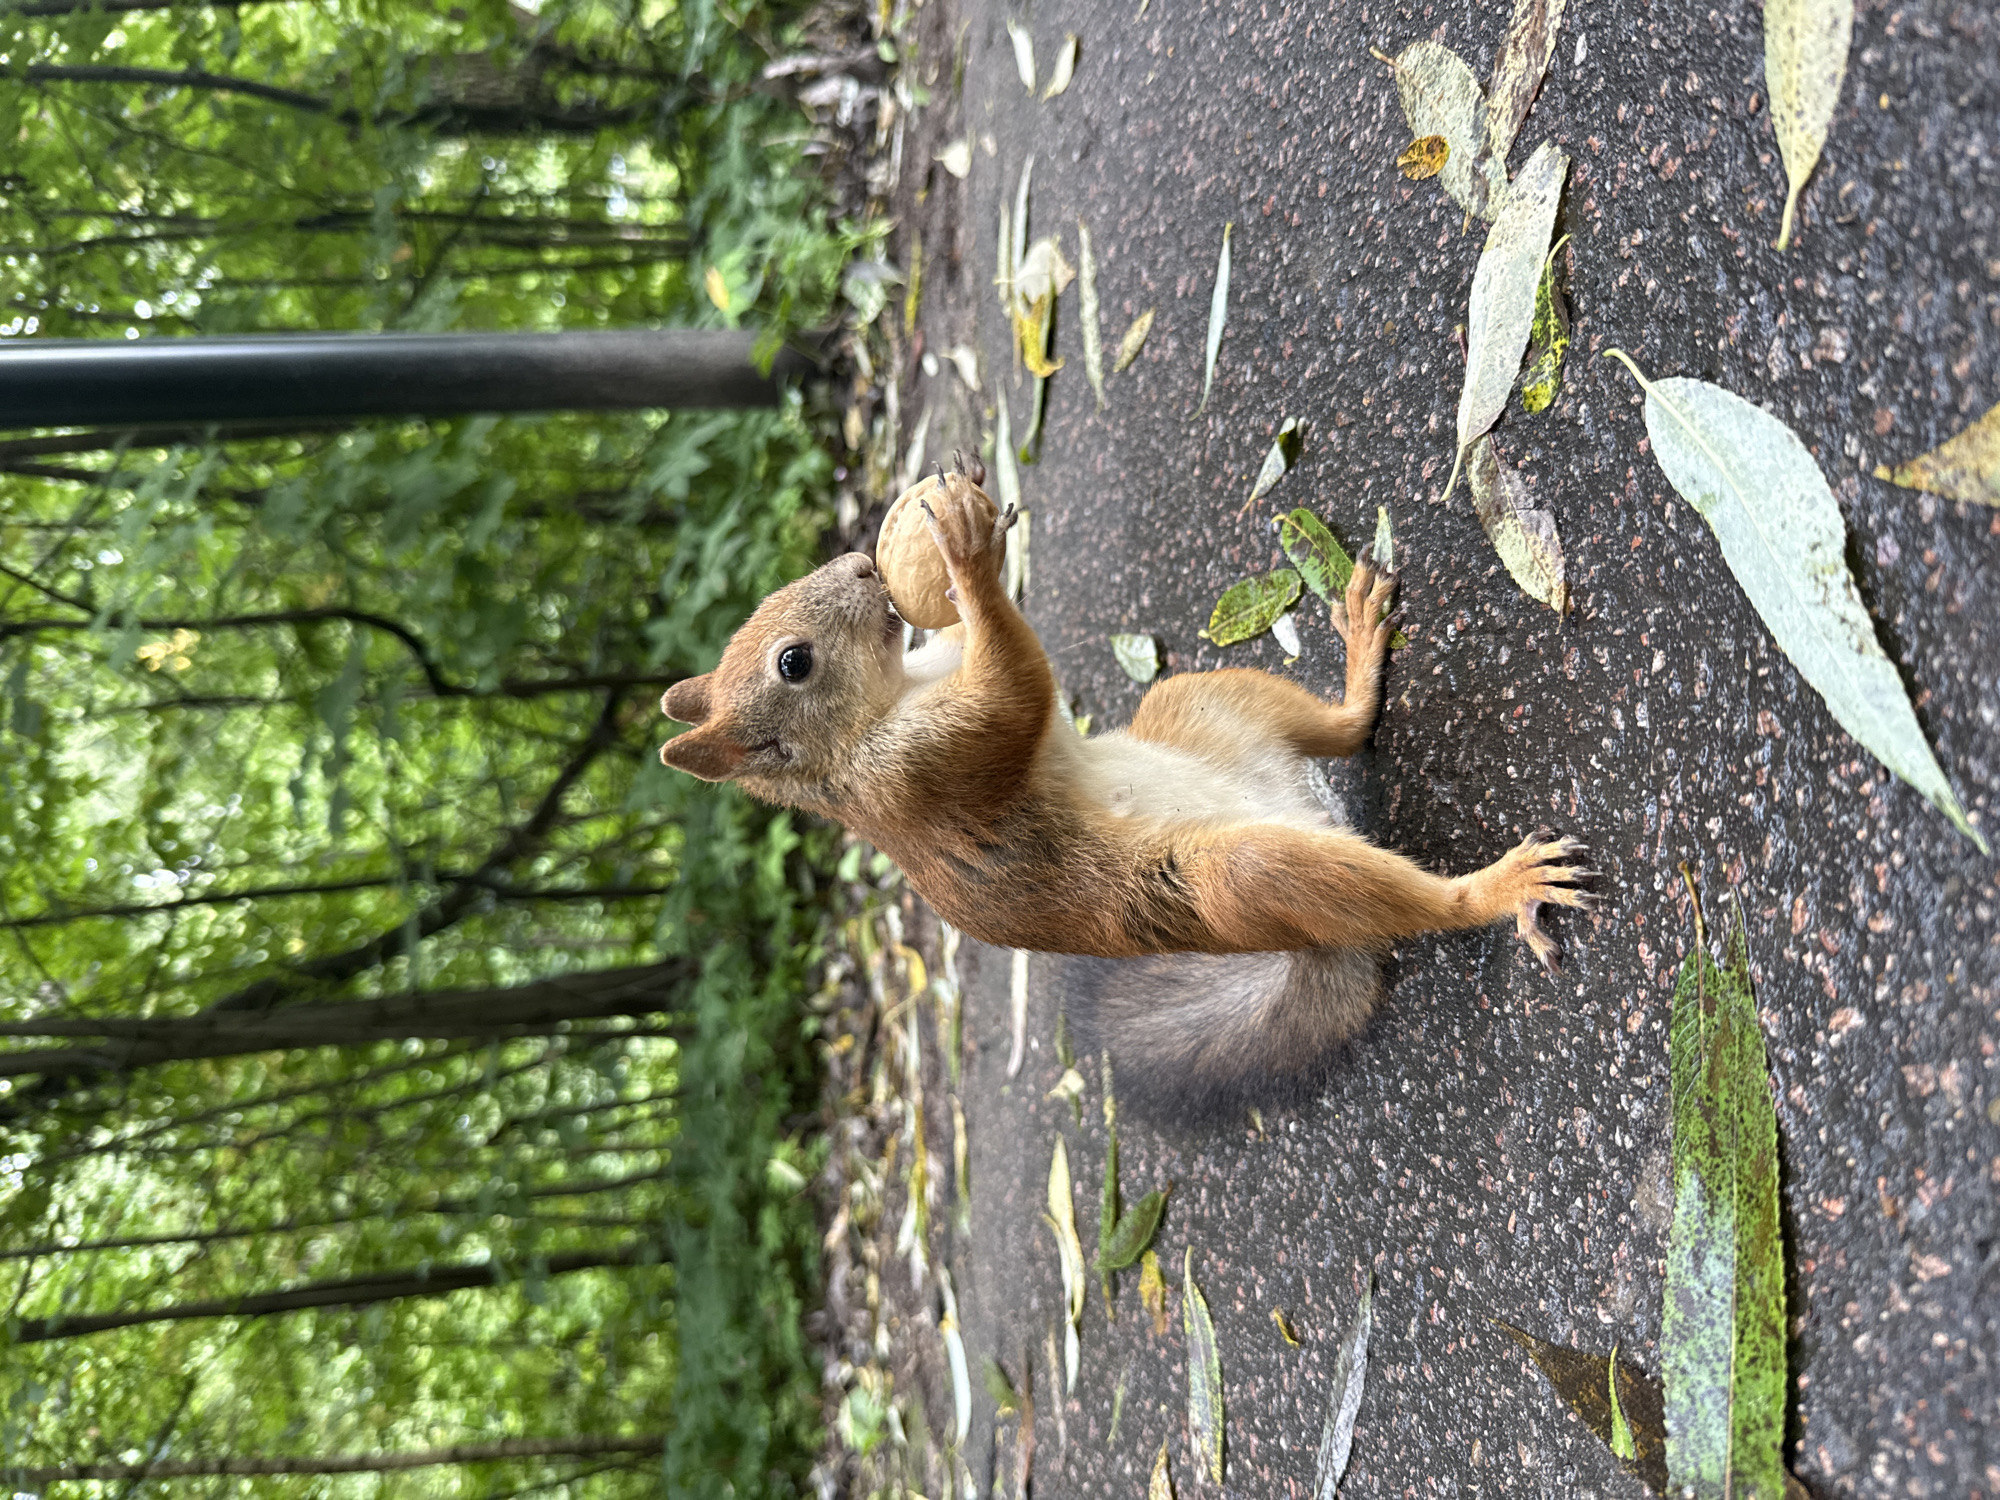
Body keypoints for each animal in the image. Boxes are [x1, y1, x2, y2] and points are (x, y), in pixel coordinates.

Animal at [659, 457, 1596, 1115]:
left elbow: (986, 650)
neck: (895, 698)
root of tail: (1304, 815)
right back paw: (1496, 888)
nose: (861, 563)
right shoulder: (925, 770)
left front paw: (966, 510)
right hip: (1244, 878)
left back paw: (1362, 656)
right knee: (1402, 895)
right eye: (794, 663)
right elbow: (1016, 695)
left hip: (1209, 702)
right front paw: (966, 552)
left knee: (1343, 729)